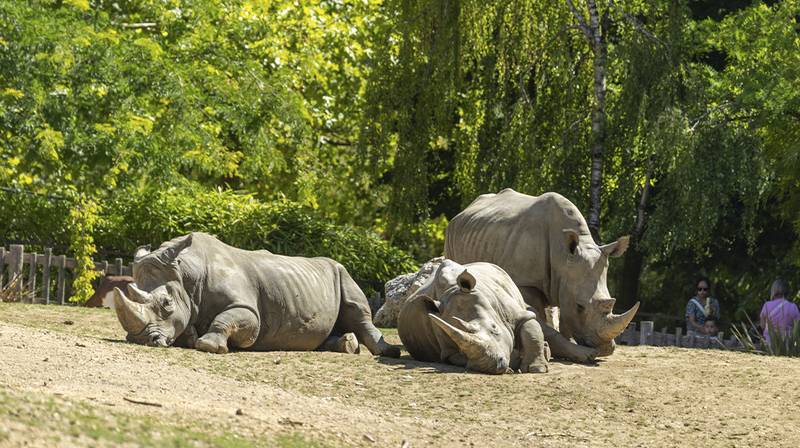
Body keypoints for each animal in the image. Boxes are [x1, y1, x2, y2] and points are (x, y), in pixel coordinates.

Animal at [113, 232, 400, 358]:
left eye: (166, 303)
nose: (141, 340)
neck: (187, 275)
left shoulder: (247, 309)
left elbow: (232, 320)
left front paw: (209, 345)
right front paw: (192, 336)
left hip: (342, 273)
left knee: (358, 310)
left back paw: (388, 352)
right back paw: (346, 346)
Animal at [398, 259, 549, 374]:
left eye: (494, 327)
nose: (490, 366)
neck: (452, 289)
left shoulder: (519, 315)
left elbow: (531, 333)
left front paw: (537, 369)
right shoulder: (449, 352)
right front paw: (511, 363)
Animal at [445, 189, 639, 362]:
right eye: (580, 306)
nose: (605, 349)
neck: (562, 256)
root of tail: (465, 210)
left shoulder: (564, 280)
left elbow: (563, 314)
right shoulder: (526, 282)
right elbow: (540, 314)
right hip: (451, 233)